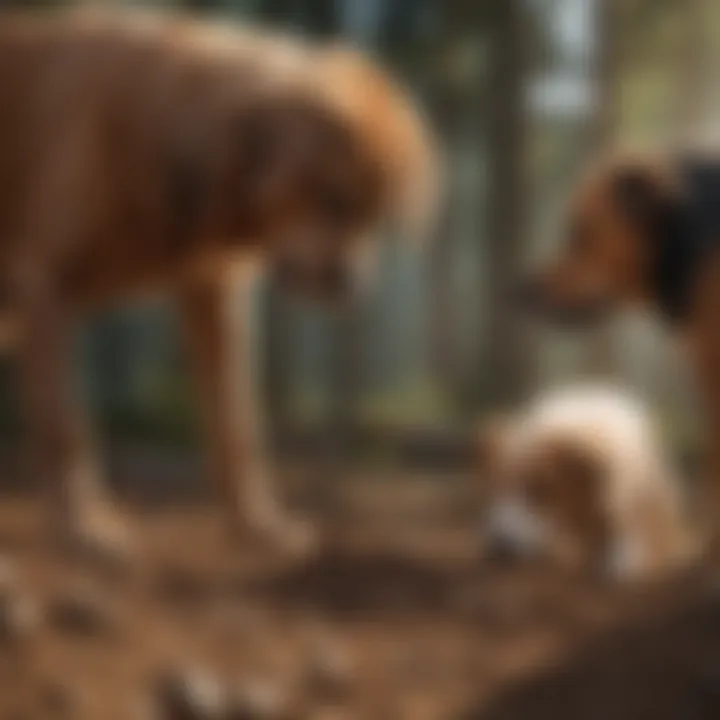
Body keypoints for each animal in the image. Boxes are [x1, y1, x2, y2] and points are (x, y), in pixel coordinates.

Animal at [0, 12, 436, 564]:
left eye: (375, 216)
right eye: (335, 199)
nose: (354, 287)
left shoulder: (213, 297)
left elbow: (237, 428)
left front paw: (257, 527)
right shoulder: (44, 288)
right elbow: (65, 431)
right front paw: (83, 530)